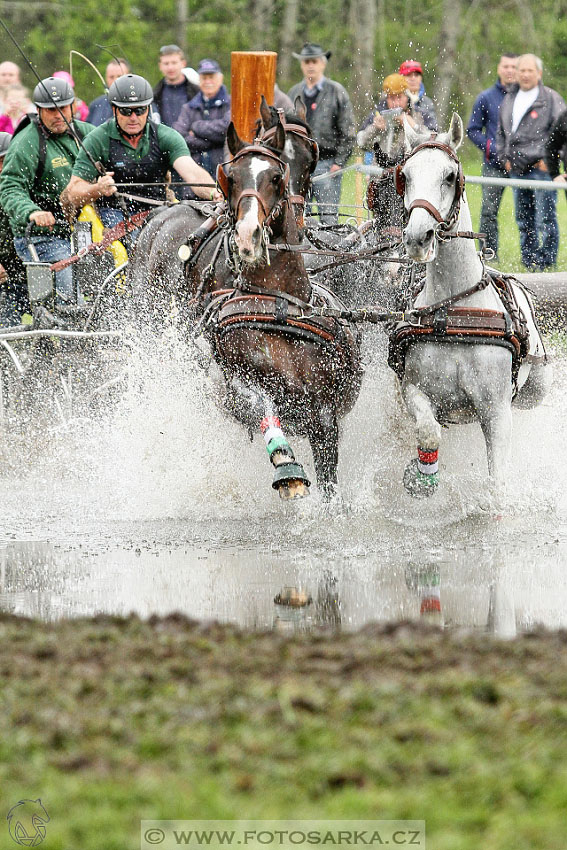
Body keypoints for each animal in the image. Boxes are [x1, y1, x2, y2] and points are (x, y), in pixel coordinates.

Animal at [202, 121, 362, 496]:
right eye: (230, 177)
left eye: (276, 177)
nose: (247, 235)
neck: (279, 306)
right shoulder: (241, 382)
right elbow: (261, 404)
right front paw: (286, 464)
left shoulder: (323, 411)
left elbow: (329, 480)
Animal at [390, 113, 552, 496]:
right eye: (405, 176)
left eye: (450, 176)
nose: (417, 238)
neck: (455, 311)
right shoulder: (415, 390)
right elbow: (428, 432)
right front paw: (422, 476)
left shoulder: (495, 412)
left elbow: (496, 481)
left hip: (537, 385)